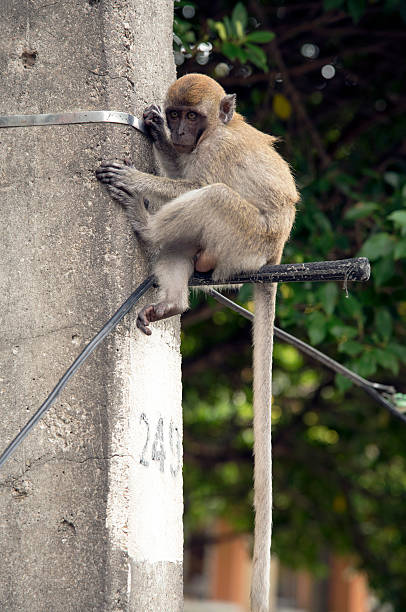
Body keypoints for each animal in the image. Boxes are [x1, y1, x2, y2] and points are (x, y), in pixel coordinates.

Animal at [95, 73, 298, 612]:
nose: (181, 131)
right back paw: (173, 300)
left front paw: (141, 180)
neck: (215, 131)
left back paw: (146, 223)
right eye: (176, 113)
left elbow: (193, 185)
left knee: (212, 199)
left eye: (194, 116)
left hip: (242, 241)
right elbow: (181, 172)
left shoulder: (215, 152)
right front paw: (159, 138)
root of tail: (274, 255)